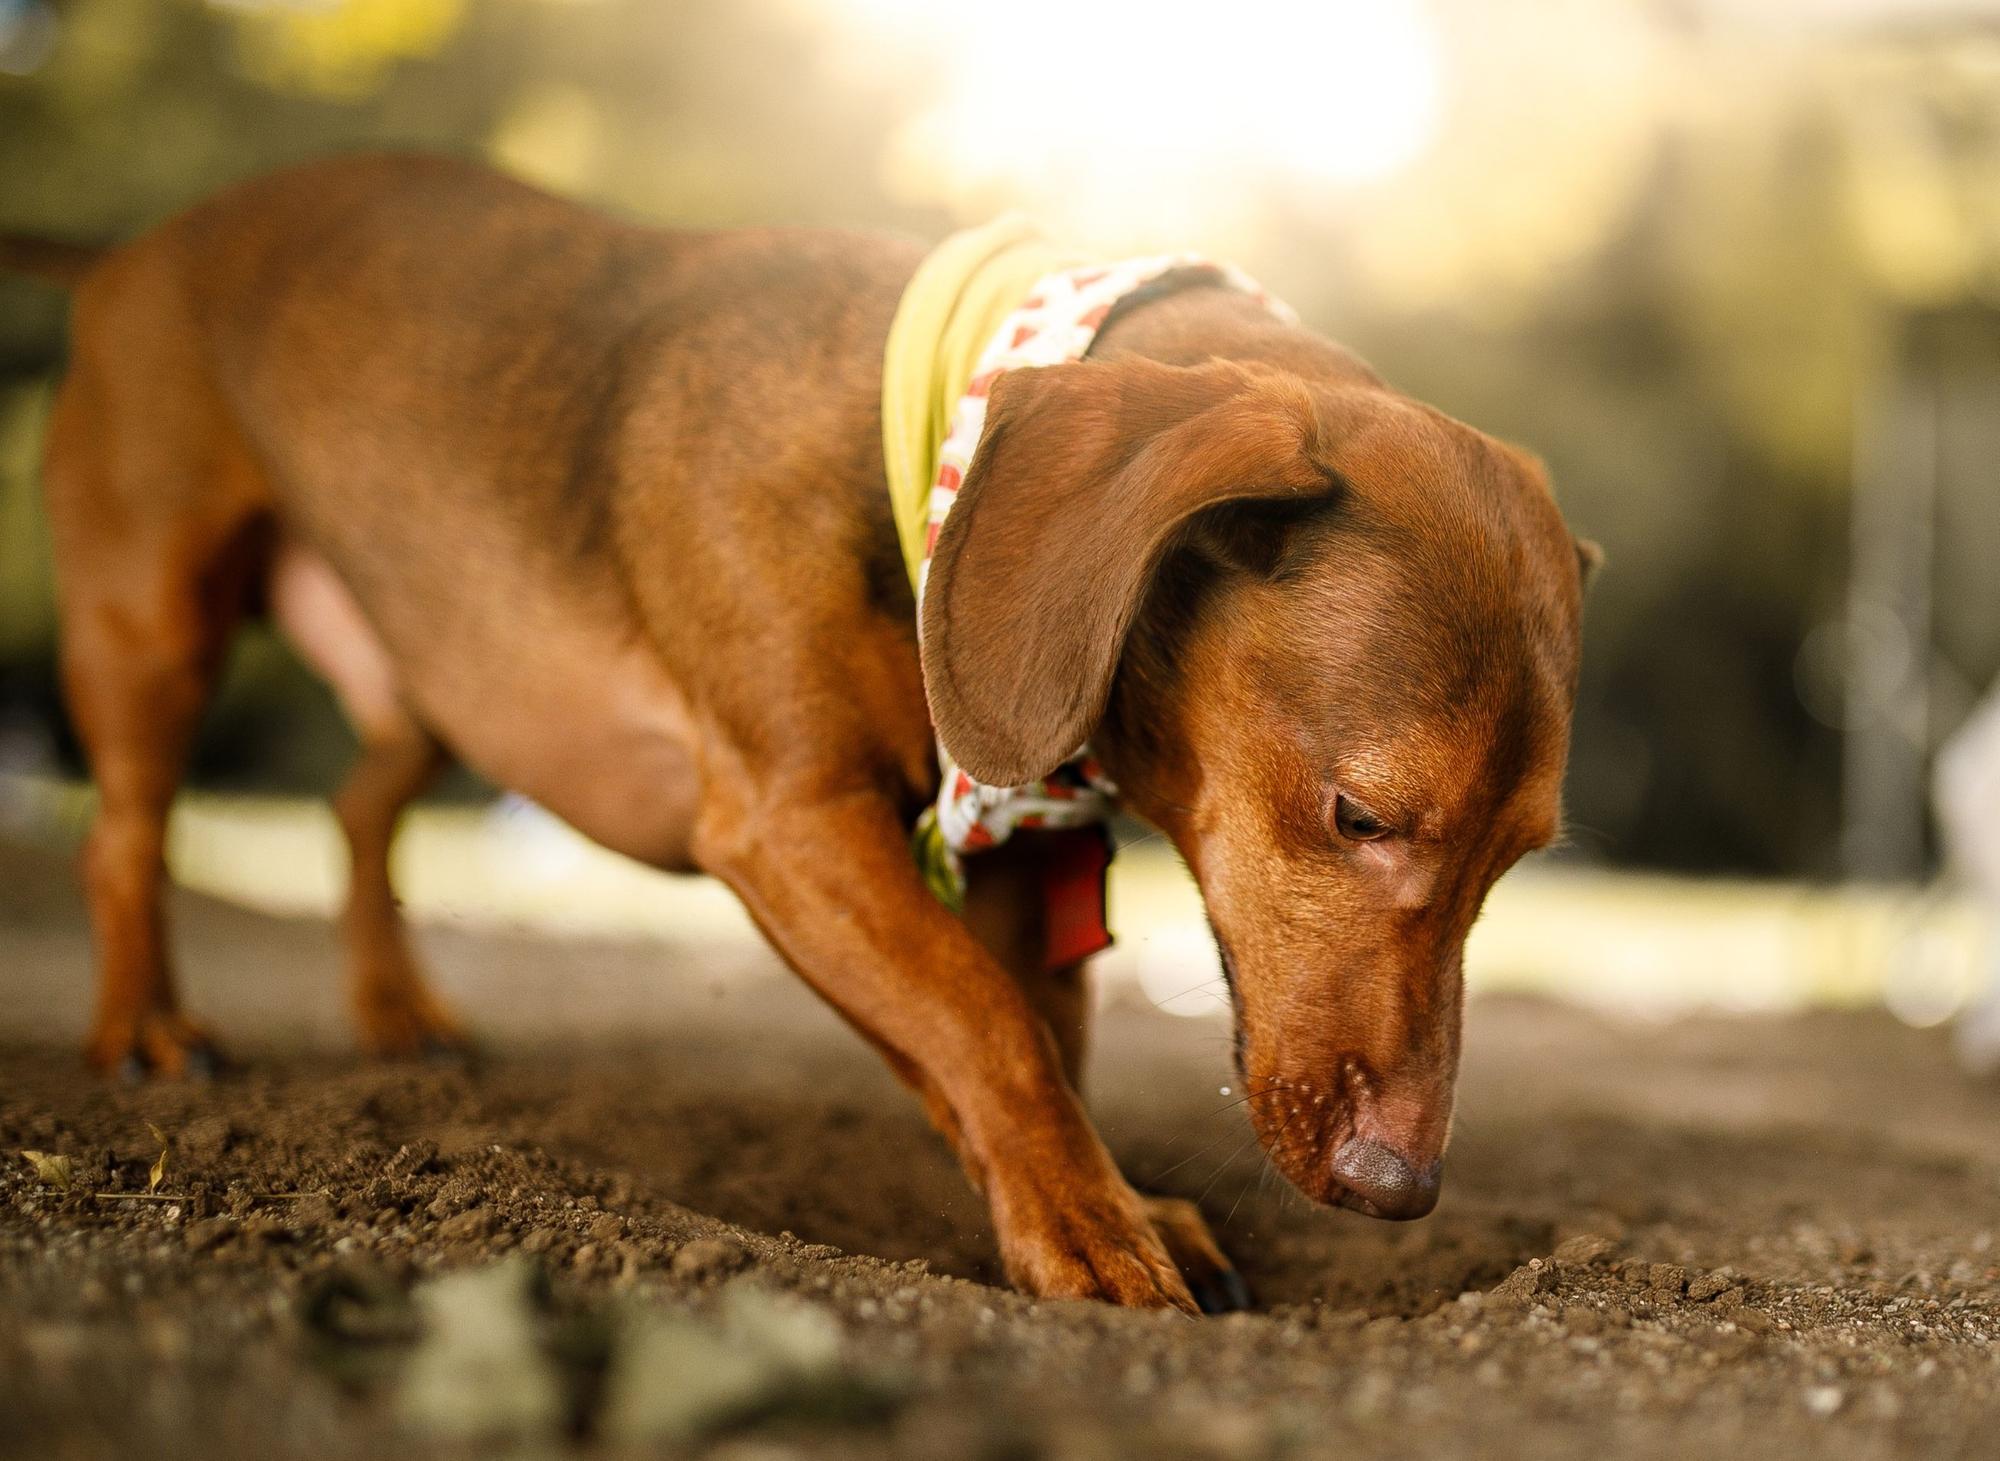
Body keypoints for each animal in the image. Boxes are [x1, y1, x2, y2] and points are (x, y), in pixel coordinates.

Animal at [3, 156, 1592, 1312]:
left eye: (1517, 862)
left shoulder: (1012, 869)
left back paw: (398, 1013)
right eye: (1360, 815)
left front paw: (1096, 1198)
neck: (934, 439)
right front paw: (1092, 1228)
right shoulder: (789, 822)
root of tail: (141, 246)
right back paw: (148, 1031)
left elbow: (1024, 1038)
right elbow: (985, 1025)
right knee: (125, 835)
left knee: (355, 807)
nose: (1400, 1189)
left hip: (450, 663)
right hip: (157, 623)